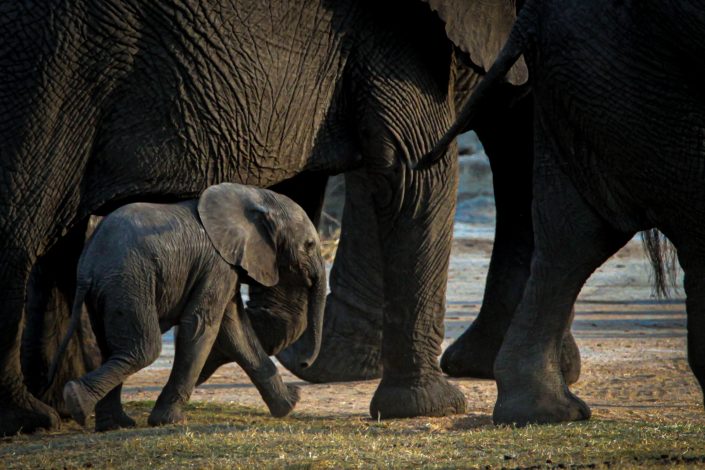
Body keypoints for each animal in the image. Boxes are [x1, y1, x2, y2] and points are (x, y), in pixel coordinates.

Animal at [51, 183, 325, 430]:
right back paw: (76, 400)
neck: (251, 195)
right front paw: (169, 421)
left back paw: (114, 424)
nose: (304, 363)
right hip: (128, 281)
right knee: (144, 348)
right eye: (310, 245)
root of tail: (87, 266)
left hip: (106, 291)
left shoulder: (226, 267)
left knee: (110, 347)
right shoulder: (217, 264)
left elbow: (236, 330)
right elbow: (202, 325)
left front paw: (290, 403)